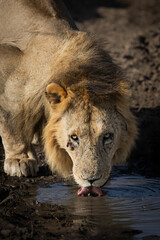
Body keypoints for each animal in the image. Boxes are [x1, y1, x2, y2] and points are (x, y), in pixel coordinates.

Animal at [0, 0, 138, 195]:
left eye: (107, 136)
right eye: (74, 138)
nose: (91, 180)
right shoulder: (8, 64)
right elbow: (11, 124)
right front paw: (19, 161)